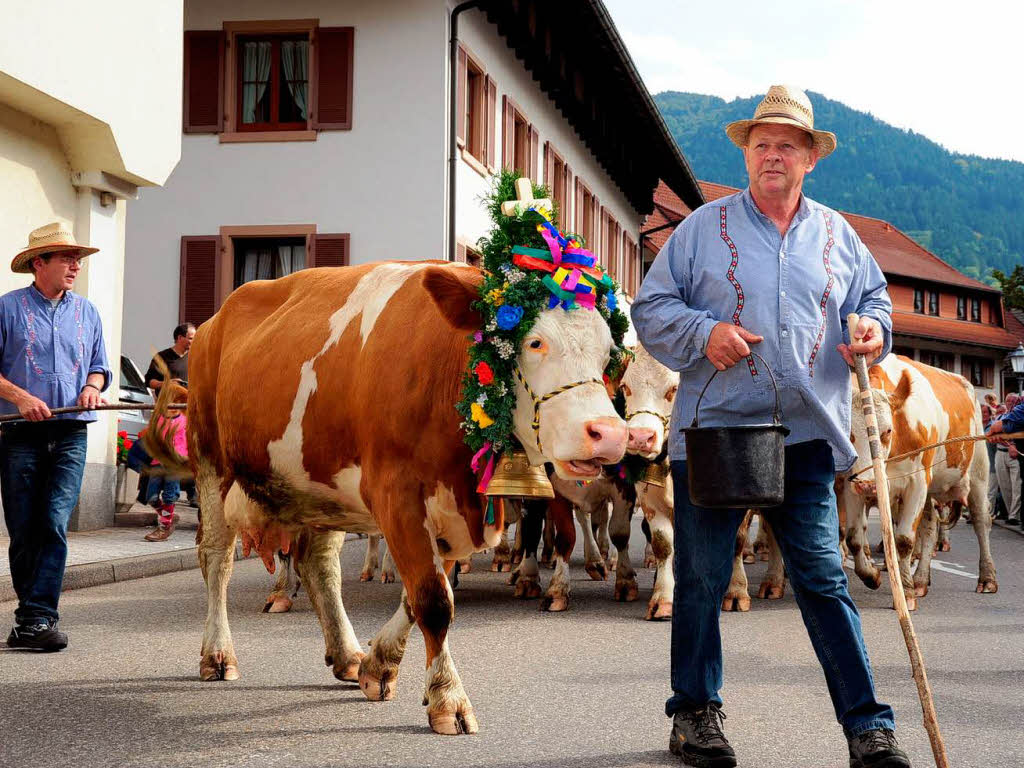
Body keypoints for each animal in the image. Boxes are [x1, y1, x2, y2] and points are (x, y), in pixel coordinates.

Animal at [155, 262, 626, 737]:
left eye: (609, 354)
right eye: (534, 341)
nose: (609, 434)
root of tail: (215, 321)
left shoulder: (450, 513)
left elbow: (420, 595)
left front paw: (379, 665)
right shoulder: (396, 492)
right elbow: (434, 600)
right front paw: (448, 698)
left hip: (320, 488)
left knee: (318, 564)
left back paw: (346, 654)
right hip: (211, 461)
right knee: (217, 559)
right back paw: (217, 654)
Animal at [843, 352, 995, 610]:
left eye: (887, 431)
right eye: (848, 433)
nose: (867, 484)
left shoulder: (917, 484)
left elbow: (904, 540)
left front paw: (906, 594)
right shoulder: (851, 484)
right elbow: (854, 538)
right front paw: (872, 575)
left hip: (978, 472)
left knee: (981, 520)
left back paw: (987, 578)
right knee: (930, 526)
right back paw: (921, 580)